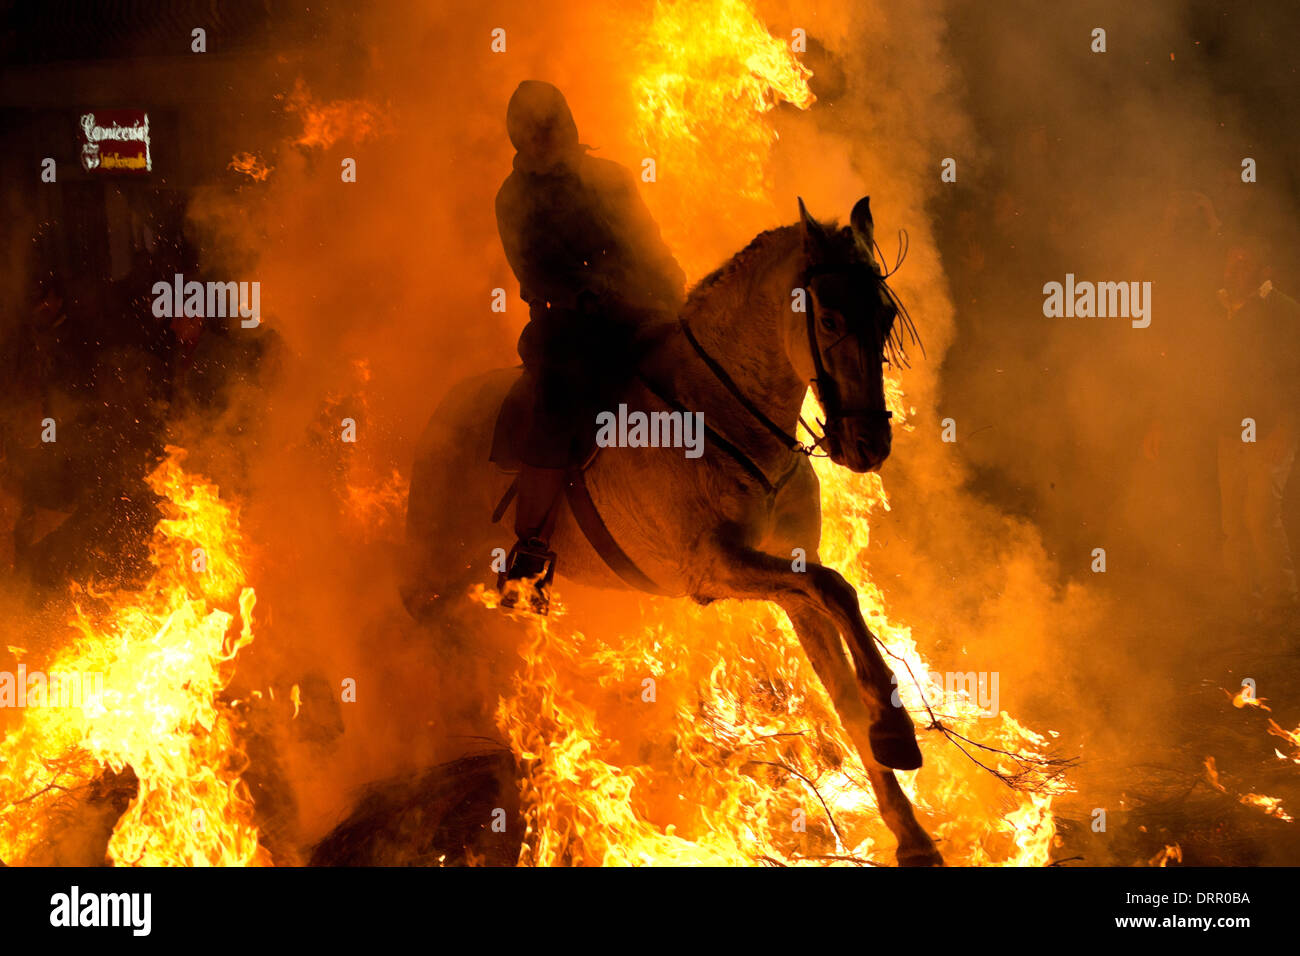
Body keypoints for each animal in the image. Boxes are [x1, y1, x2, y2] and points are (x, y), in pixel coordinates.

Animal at [400, 195, 941, 868]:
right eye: (832, 316)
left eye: (885, 316)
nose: (868, 444)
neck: (722, 413)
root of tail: (450, 406)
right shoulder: (713, 566)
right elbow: (838, 587)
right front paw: (895, 729)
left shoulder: (786, 576)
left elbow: (840, 676)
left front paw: (910, 829)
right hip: (433, 569)